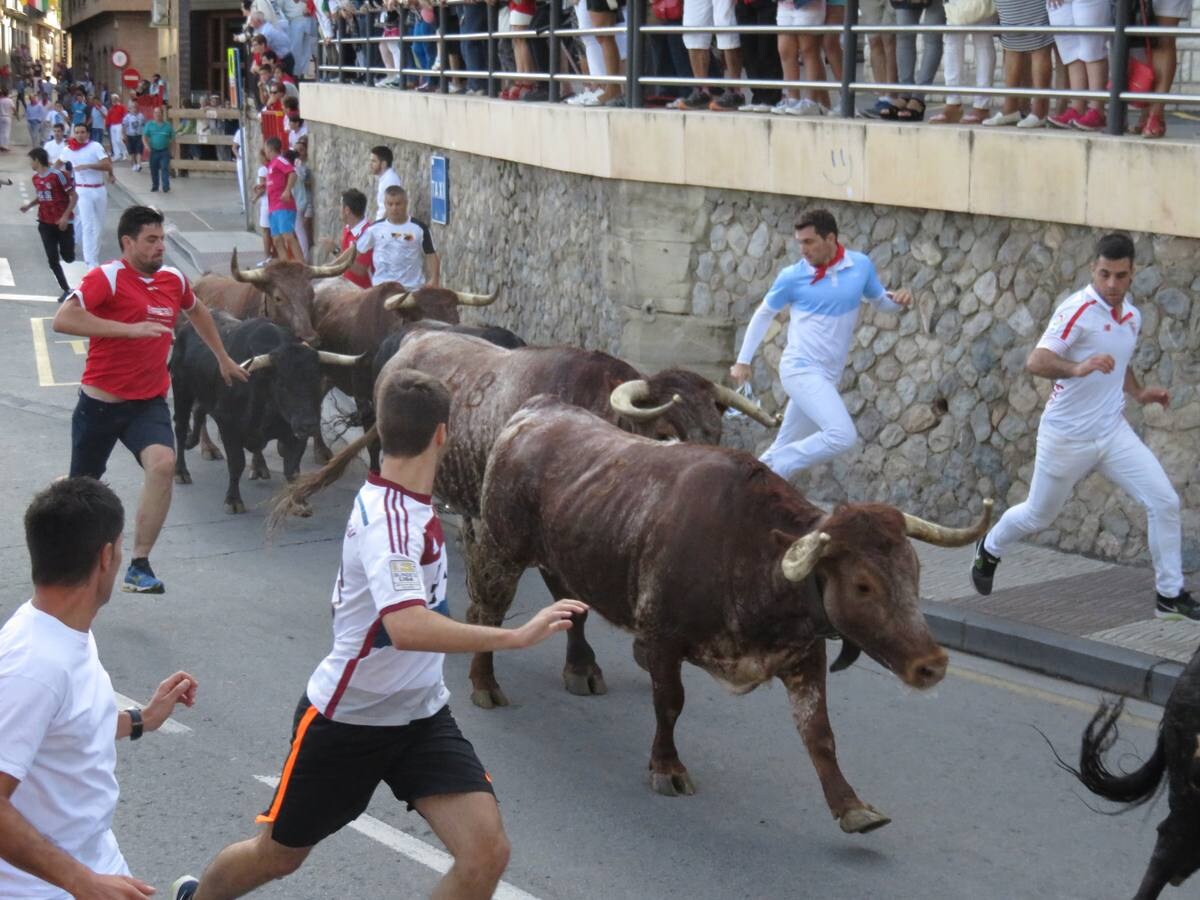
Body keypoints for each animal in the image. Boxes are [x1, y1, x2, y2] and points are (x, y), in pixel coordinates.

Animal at [470, 398, 993, 835]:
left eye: (914, 570)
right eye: (863, 584)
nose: (932, 665)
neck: (747, 552)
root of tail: (536, 411)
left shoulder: (804, 657)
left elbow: (819, 734)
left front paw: (851, 806)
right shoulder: (663, 639)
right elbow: (670, 703)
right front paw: (667, 768)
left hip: (561, 558)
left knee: (568, 607)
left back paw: (581, 669)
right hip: (500, 550)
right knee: (487, 613)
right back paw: (485, 685)